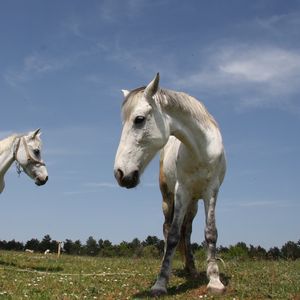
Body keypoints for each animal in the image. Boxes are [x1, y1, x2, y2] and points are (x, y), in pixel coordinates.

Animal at [113, 73, 226, 296]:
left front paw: (214, 280)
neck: (200, 150)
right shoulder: (181, 191)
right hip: (168, 198)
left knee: (187, 231)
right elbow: (173, 235)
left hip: (193, 202)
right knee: (167, 229)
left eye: (139, 120)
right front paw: (161, 283)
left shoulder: (211, 191)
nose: (120, 173)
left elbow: (210, 233)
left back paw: (191, 269)